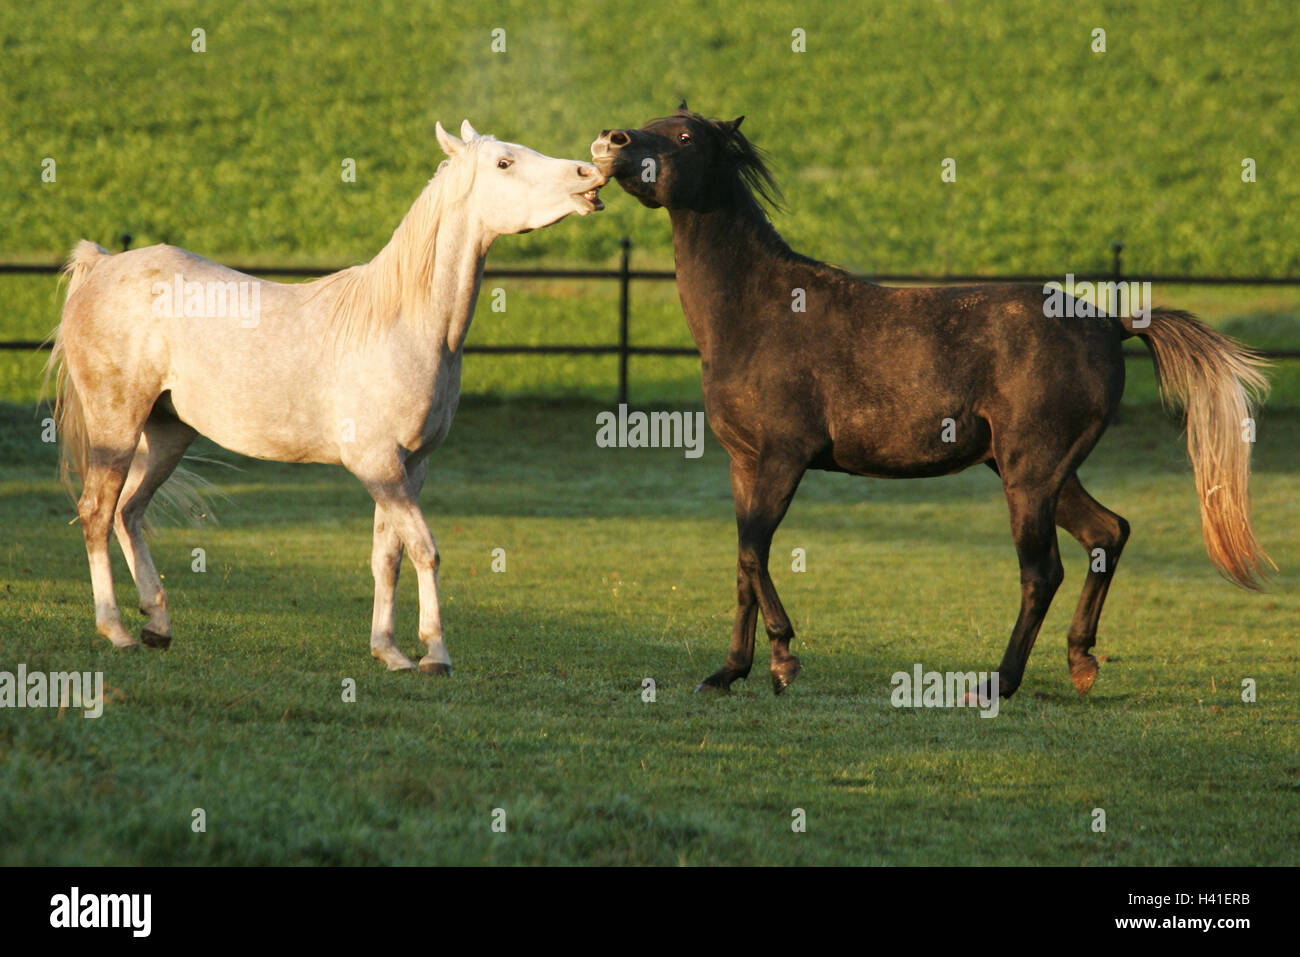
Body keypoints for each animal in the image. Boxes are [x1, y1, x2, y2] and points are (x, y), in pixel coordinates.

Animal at [45, 119, 603, 670]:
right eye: (504, 163)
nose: (590, 174)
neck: (405, 323)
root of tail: (102, 265)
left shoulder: (410, 466)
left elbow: (388, 557)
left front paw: (389, 650)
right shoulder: (378, 464)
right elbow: (425, 549)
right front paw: (435, 653)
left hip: (166, 435)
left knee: (128, 512)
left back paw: (157, 625)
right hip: (116, 427)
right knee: (97, 513)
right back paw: (115, 630)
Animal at [590, 104, 1268, 696]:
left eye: (683, 138)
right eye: (649, 122)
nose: (610, 141)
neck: (761, 309)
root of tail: (1111, 323)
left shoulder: (784, 457)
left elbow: (755, 554)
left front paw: (784, 662)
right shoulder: (743, 463)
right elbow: (742, 564)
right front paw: (728, 673)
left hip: (1031, 473)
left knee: (1043, 571)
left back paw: (998, 683)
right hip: (1038, 470)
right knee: (1107, 532)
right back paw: (1080, 663)